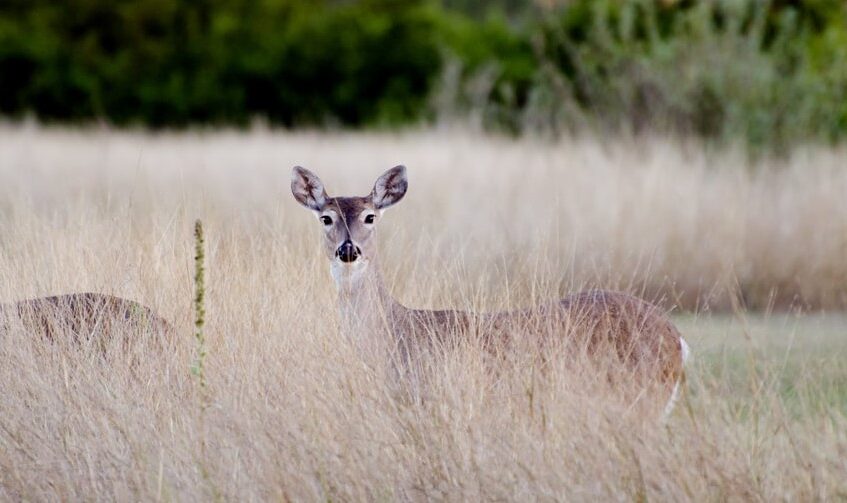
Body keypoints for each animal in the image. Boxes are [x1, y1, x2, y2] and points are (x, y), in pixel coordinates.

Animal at [290, 167, 688, 416]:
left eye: (371, 216)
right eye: (326, 217)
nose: (348, 249)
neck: (397, 334)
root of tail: (678, 339)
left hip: (642, 397)